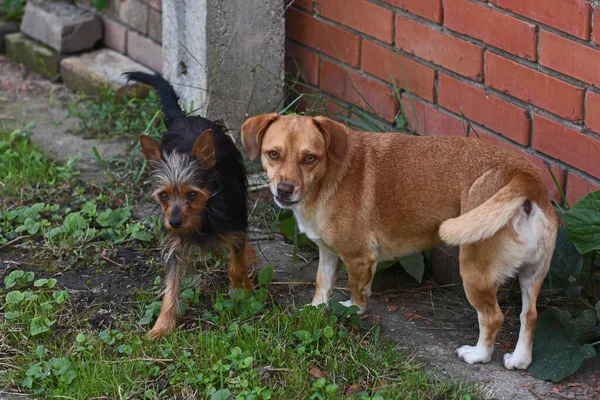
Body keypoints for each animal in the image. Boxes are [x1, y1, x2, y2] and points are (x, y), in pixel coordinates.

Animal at [243, 112, 556, 368]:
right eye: (273, 154)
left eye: (310, 157)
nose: (284, 190)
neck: (329, 174)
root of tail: (525, 177)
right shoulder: (328, 252)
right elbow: (323, 284)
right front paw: (316, 310)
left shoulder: (358, 258)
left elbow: (357, 294)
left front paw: (350, 311)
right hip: (532, 276)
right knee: (529, 316)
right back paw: (519, 360)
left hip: (473, 272)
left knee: (492, 318)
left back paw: (477, 355)